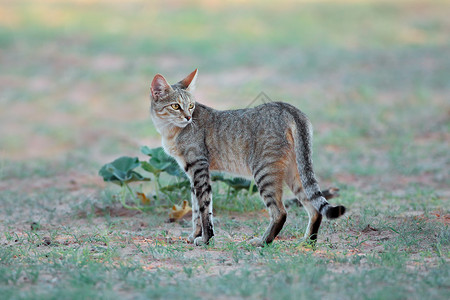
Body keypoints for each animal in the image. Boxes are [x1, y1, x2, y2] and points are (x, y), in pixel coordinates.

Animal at [149, 69, 346, 247]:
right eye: (175, 106)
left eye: (191, 105)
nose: (188, 117)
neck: (170, 131)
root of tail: (288, 108)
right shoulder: (191, 174)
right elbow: (196, 209)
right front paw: (194, 235)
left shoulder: (199, 169)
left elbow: (205, 209)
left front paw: (206, 239)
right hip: (296, 173)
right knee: (314, 209)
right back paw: (307, 243)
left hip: (264, 172)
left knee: (280, 212)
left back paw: (263, 241)